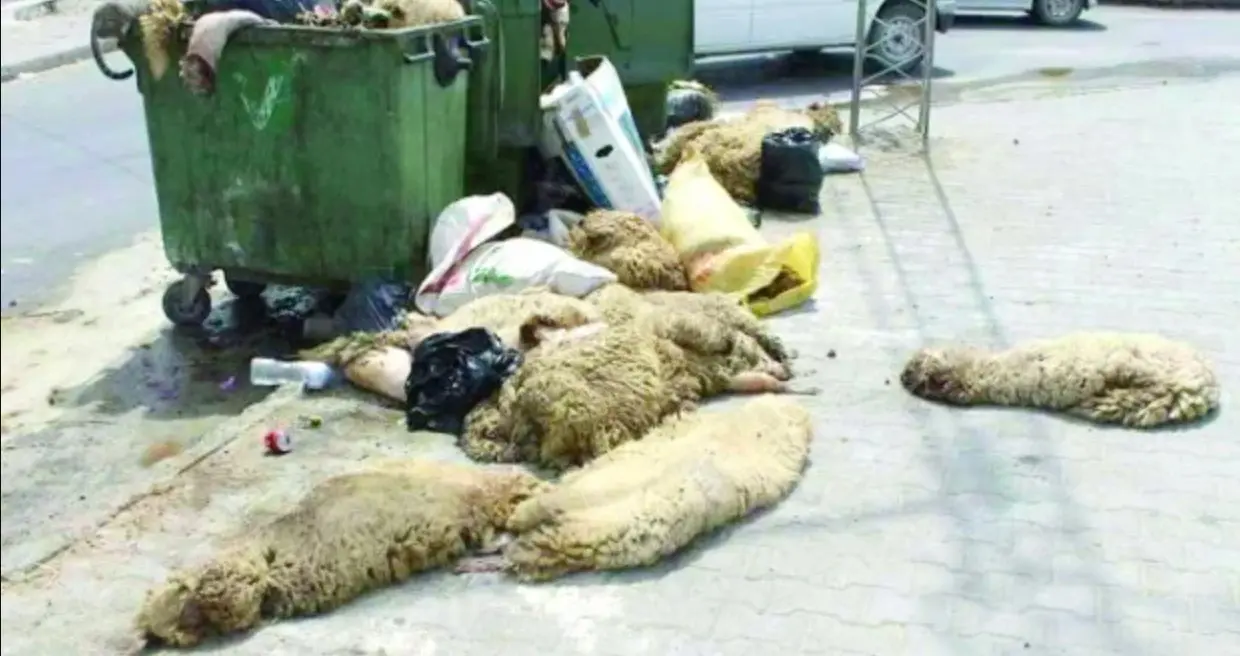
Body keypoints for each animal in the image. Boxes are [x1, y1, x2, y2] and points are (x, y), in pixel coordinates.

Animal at [457, 395, 814, 582]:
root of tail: (563, 507)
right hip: (575, 536)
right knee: (519, 550)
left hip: (566, 540)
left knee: (519, 549)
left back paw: (477, 559)